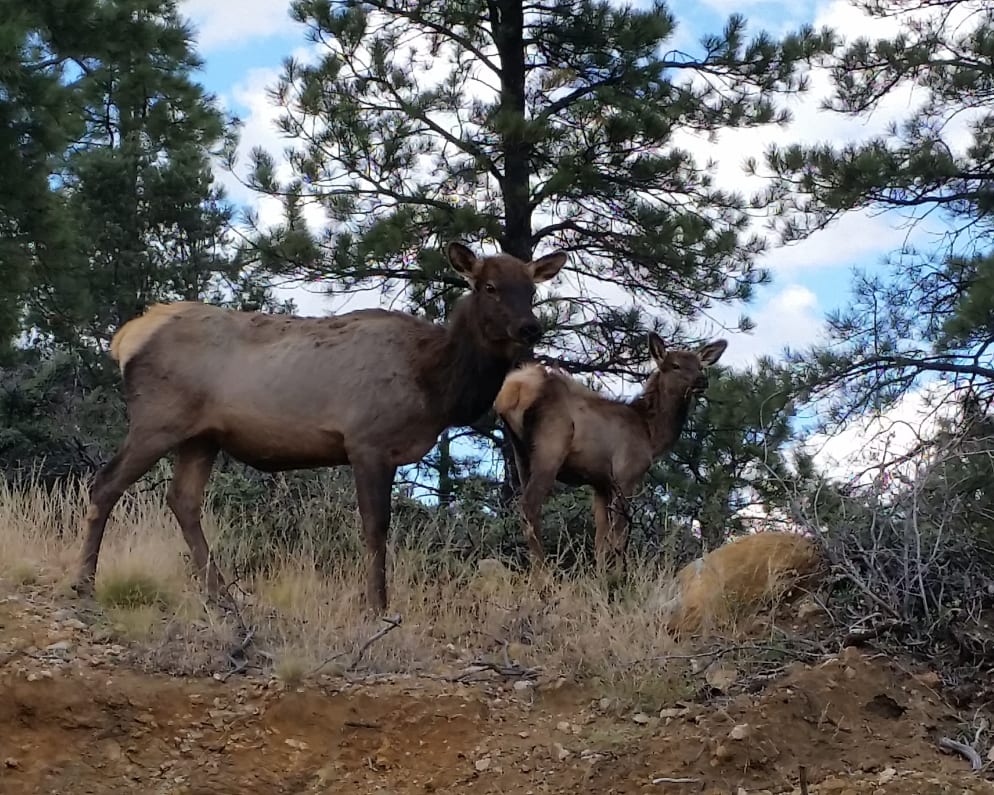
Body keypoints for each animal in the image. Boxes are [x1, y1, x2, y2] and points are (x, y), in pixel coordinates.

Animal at [70, 241, 564, 608]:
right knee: (105, 483)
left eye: (532, 289)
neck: (435, 386)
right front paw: (377, 605)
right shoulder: (366, 441)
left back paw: (223, 595)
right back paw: (84, 582)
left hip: (201, 436)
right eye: (489, 286)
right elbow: (375, 527)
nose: (530, 328)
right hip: (157, 419)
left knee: (183, 500)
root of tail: (125, 339)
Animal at [494, 334, 720, 572]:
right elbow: (619, 533)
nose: (702, 381)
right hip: (550, 447)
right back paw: (544, 571)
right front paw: (618, 574)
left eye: (699, 365)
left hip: (520, 453)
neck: (650, 435)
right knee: (529, 506)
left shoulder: (600, 483)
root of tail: (513, 390)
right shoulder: (626, 473)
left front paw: (602, 574)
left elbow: (601, 540)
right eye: (675, 365)